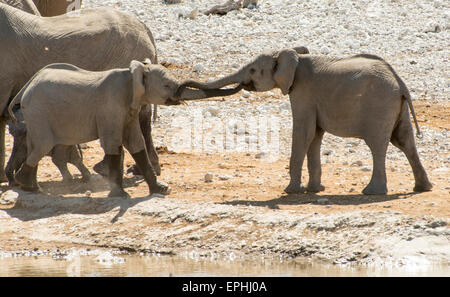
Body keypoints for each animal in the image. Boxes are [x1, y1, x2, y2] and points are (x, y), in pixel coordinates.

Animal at [6, 60, 243, 197]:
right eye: (166, 86)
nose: (242, 83)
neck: (133, 74)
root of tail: (26, 87)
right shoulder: (110, 107)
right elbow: (113, 144)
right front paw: (120, 196)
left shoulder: (130, 109)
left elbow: (136, 143)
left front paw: (161, 189)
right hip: (39, 113)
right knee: (43, 146)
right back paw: (31, 187)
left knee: (39, 147)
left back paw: (30, 186)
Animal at [179, 46, 432, 194]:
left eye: (252, 70)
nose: (181, 88)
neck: (294, 56)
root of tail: (400, 83)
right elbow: (315, 136)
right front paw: (314, 190)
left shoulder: (303, 92)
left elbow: (303, 133)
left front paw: (290, 191)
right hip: (396, 107)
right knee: (405, 142)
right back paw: (423, 188)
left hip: (379, 105)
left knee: (378, 145)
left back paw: (371, 192)